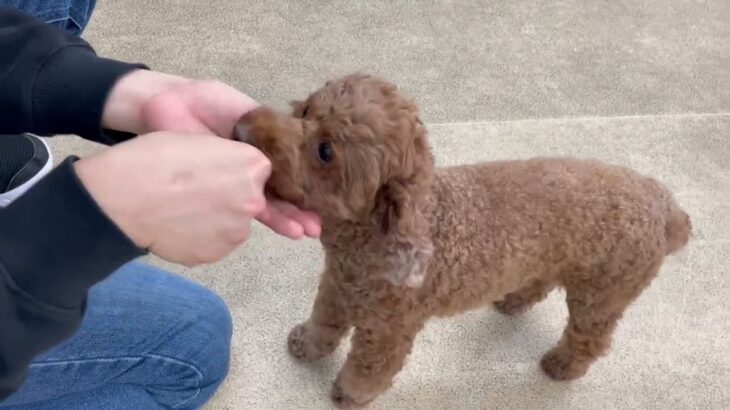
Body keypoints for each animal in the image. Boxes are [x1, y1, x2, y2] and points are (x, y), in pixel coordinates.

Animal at [236, 73, 692, 406]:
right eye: (307, 109)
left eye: (326, 151)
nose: (240, 127)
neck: (367, 241)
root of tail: (663, 202)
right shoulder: (335, 287)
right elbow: (323, 323)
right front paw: (308, 345)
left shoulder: (389, 330)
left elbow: (369, 369)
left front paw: (350, 395)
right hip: (552, 259)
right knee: (541, 281)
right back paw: (513, 301)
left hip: (602, 295)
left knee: (591, 337)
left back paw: (563, 365)